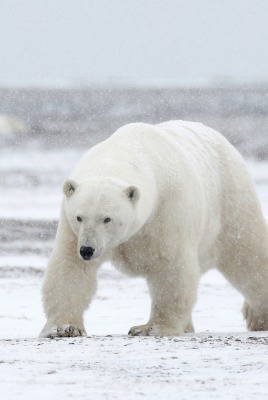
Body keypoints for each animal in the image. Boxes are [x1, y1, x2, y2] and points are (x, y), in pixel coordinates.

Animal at [39, 119, 268, 338]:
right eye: (79, 217)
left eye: (107, 219)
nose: (87, 250)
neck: (127, 151)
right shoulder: (71, 228)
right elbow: (70, 267)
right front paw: (63, 328)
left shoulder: (167, 208)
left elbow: (171, 265)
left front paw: (149, 328)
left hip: (231, 200)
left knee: (247, 256)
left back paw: (258, 318)